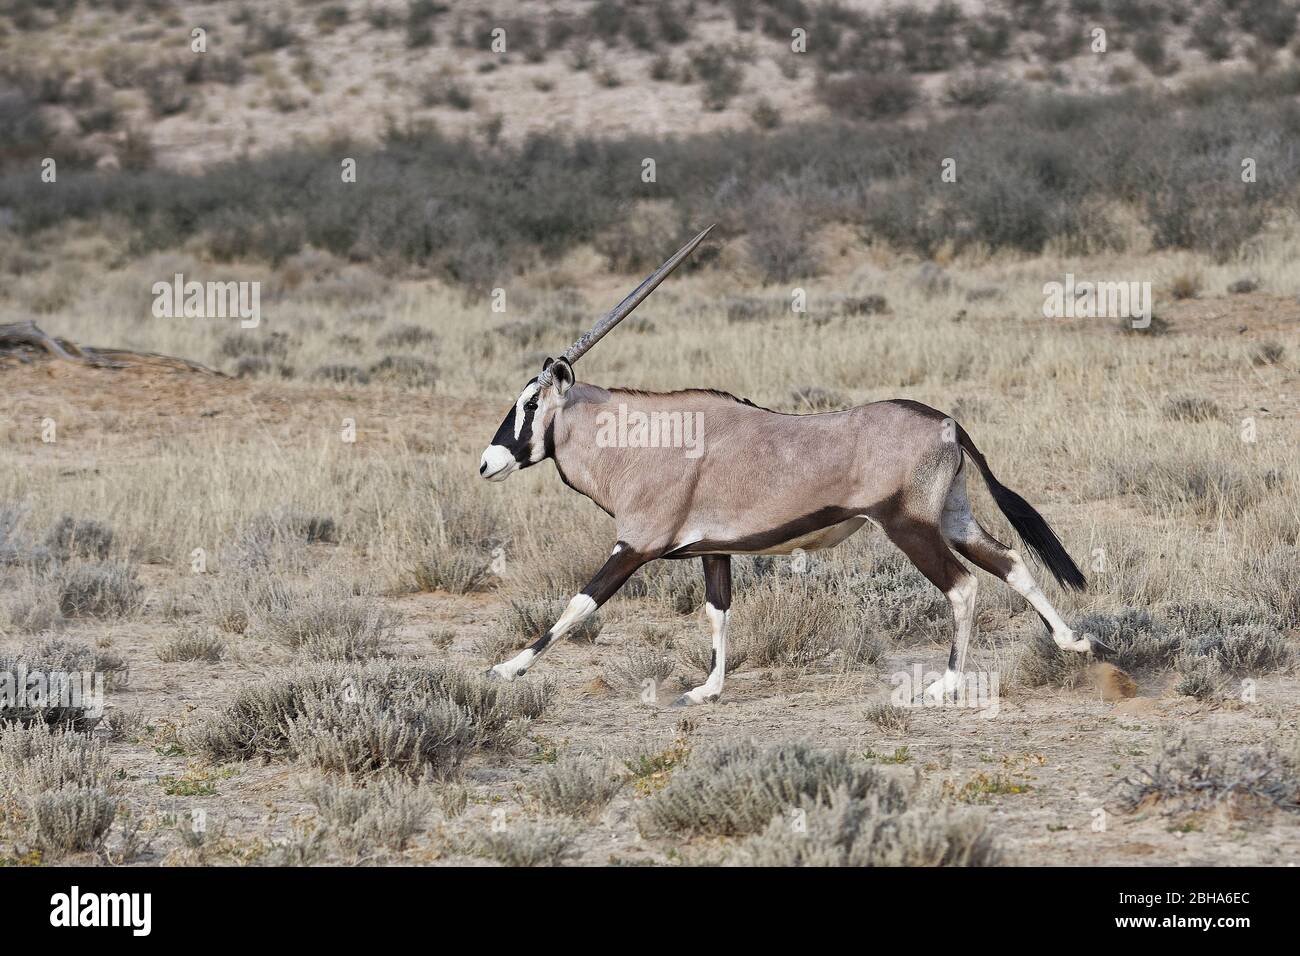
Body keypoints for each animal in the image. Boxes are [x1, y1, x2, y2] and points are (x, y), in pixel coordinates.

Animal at [478, 223, 1086, 702]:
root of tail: (948, 423)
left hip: (908, 525)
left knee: (962, 585)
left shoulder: (634, 546)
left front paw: (505, 669)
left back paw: (948, 682)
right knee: (1009, 561)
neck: (640, 440)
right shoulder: (713, 549)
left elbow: (579, 606)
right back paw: (1074, 641)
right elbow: (717, 610)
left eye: (530, 403)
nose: (488, 463)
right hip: (952, 517)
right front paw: (707, 689)